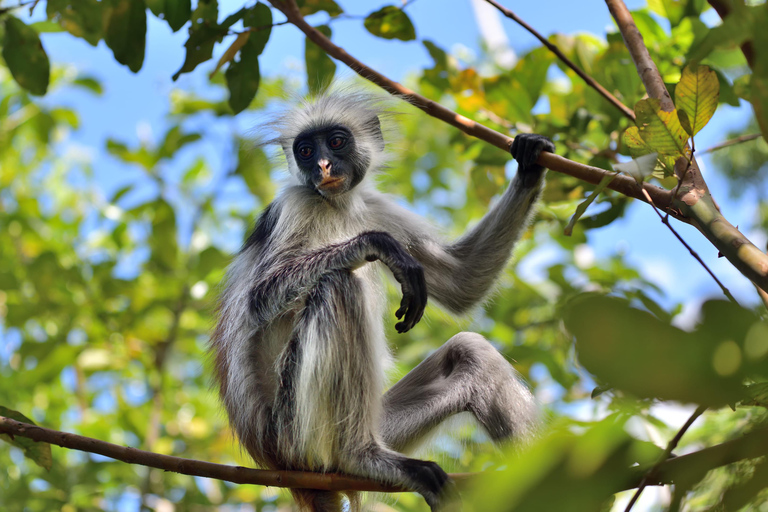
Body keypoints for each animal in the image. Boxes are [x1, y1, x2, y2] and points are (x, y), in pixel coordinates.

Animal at [212, 92, 552, 512]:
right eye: (306, 151)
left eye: (336, 142)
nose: (322, 165)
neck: (336, 205)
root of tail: (276, 462)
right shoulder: (295, 204)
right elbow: (259, 298)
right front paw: (374, 244)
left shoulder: (372, 206)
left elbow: (462, 283)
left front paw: (530, 162)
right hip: (297, 435)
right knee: (338, 283)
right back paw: (358, 457)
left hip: (378, 423)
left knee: (472, 354)